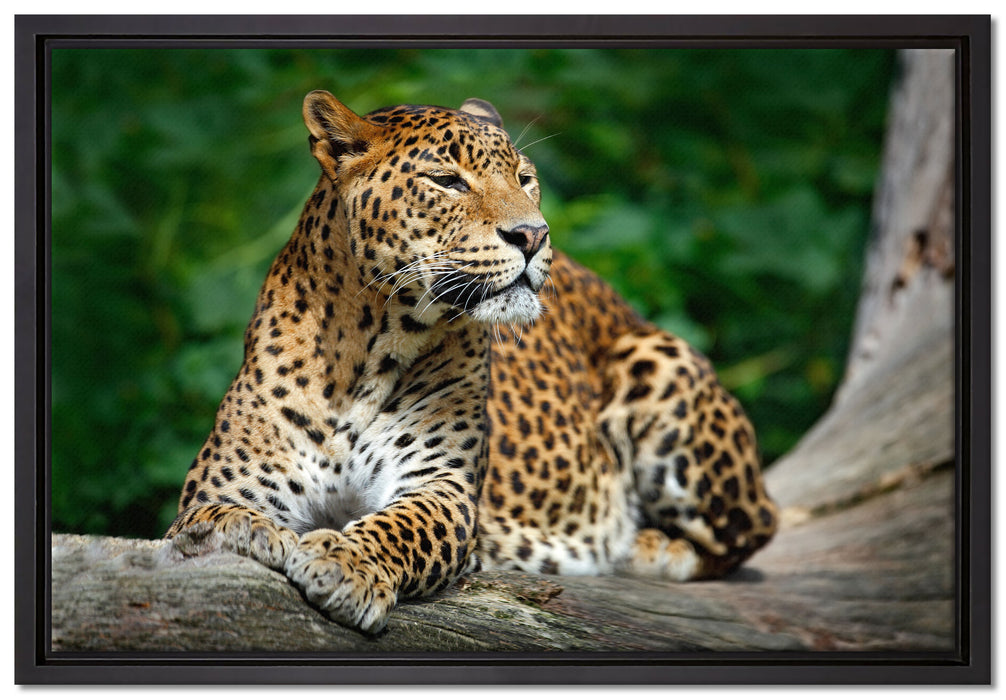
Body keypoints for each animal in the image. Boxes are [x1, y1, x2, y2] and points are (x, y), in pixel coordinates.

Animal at [166, 89, 778, 634]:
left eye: (525, 178)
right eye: (447, 180)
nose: (533, 234)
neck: (366, 349)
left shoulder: (443, 487)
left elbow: (400, 527)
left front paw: (343, 563)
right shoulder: (223, 485)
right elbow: (210, 519)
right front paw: (250, 533)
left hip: (659, 361)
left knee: (752, 529)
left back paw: (643, 545)